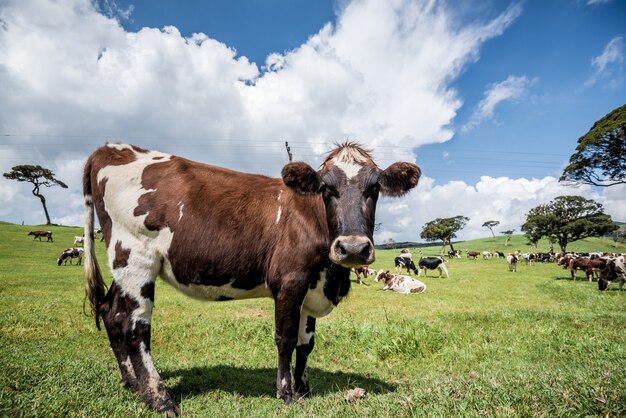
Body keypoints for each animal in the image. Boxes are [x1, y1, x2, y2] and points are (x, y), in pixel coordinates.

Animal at [80, 141, 416, 414]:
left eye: (374, 189)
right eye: (326, 189)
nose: (353, 248)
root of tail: (111, 148)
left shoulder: (312, 286)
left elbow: (306, 343)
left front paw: (304, 389)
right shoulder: (290, 282)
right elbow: (286, 339)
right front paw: (286, 393)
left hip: (122, 265)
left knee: (112, 312)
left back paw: (131, 382)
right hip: (136, 257)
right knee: (135, 328)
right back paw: (159, 398)